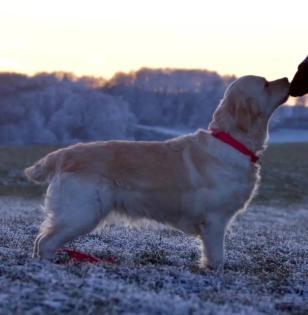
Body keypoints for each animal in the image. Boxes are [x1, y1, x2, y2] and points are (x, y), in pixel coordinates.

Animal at [24, 76, 288, 270]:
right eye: (266, 83)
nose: (287, 78)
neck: (232, 141)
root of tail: (62, 154)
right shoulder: (214, 220)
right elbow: (216, 258)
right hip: (82, 213)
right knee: (45, 241)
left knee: (39, 240)